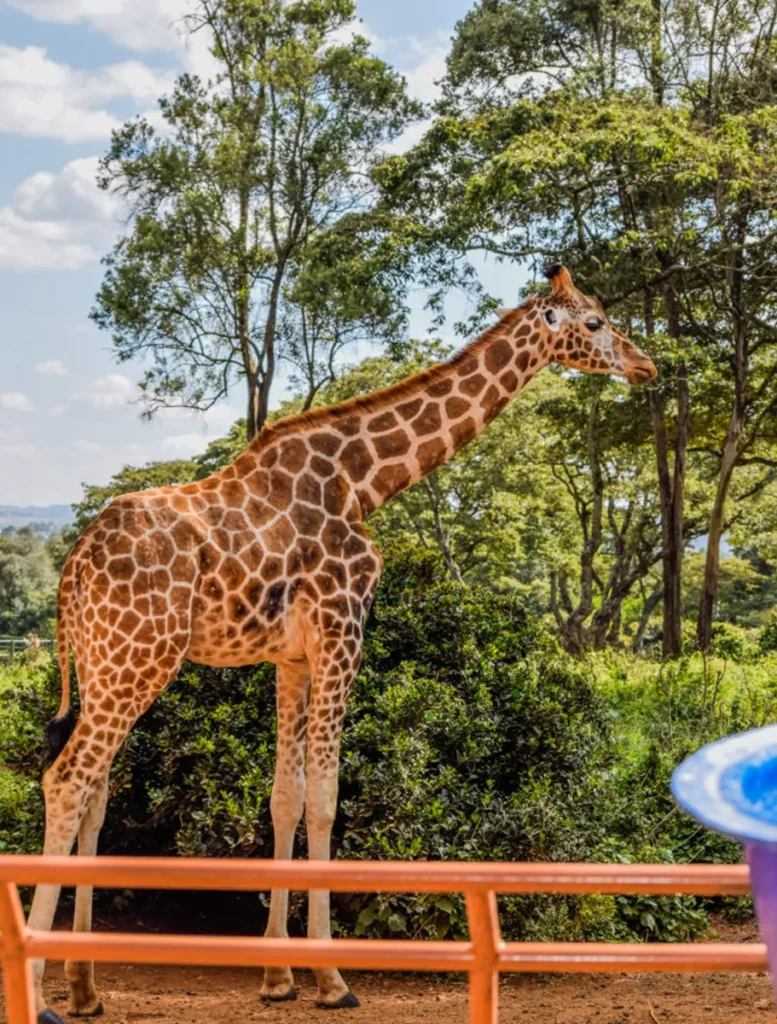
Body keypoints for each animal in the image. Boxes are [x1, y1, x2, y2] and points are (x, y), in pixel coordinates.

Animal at [30, 265, 655, 1023]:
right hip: (140, 657)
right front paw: (331, 979)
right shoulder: (342, 629)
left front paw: (277, 976)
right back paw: (41, 988)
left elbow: (285, 796)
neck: (364, 481)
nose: (647, 366)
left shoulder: (290, 657)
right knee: (68, 780)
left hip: (106, 661)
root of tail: (71, 567)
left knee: (94, 791)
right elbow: (327, 796)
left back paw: (85, 987)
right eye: (594, 322)